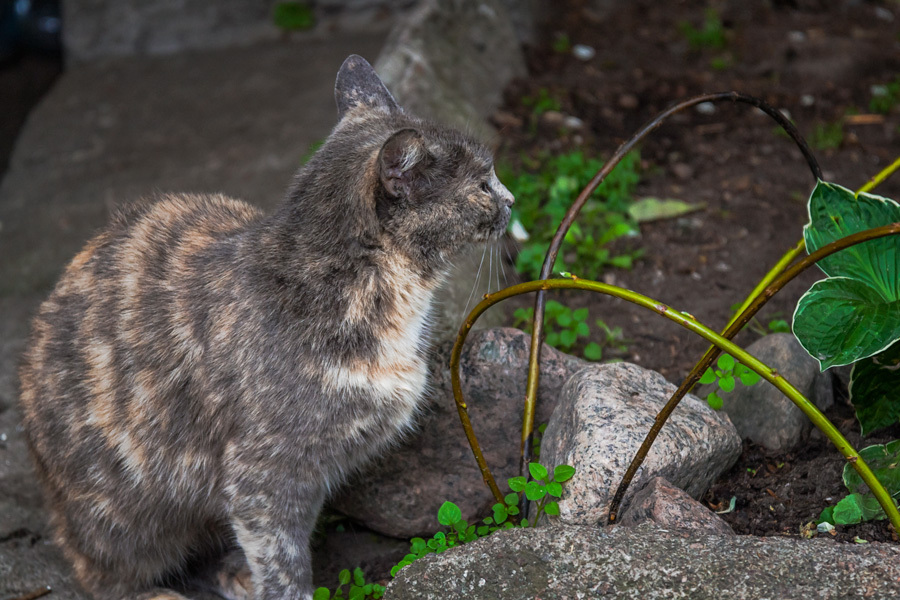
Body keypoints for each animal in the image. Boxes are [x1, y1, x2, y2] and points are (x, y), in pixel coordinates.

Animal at [19, 52, 512, 600]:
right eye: (482, 184)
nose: (511, 198)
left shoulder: (309, 476)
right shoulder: (265, 476)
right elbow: (284, 562)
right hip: (121, 514)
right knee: (101, 570)